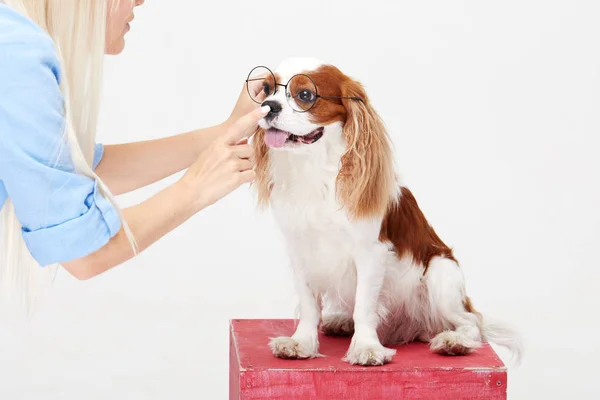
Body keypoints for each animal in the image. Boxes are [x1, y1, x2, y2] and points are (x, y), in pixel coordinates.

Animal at [248, 57, 520, 366]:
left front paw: (366, 347)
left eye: (305, 94)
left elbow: (365, 306)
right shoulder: (301, 251)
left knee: (471, 322)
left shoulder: (371, 253)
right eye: (266, 89)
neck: (316, 169)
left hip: (442, 273)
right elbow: (309, 305)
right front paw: (301, 343)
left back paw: (455, 341)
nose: (269, 106)